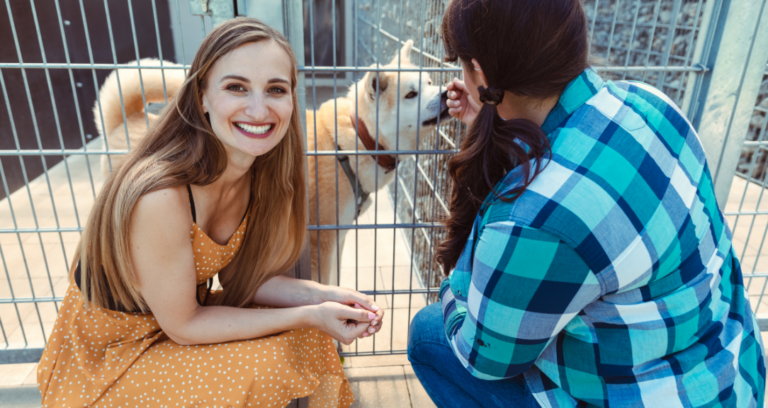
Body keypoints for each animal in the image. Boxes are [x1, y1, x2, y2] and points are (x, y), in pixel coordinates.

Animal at [99, 39, 452, 286]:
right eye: (411, 94)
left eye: (430, 83)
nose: (447, 93)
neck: (354, 141)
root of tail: (126, 120)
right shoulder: (319, 240)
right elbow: (322, 281)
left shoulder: (338, 234)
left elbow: (336, 279)